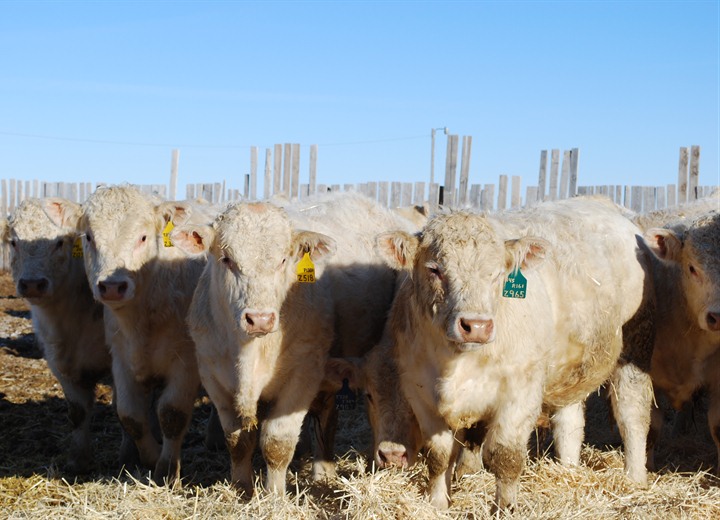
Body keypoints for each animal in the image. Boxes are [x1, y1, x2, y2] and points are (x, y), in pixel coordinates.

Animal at [2, 197, 111, 474]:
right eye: (14, 242)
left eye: (60, 242)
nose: (32, 284)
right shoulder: (60, 365)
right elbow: (78, 412)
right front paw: (78, 462)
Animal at [51, 185, 216, 484]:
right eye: (89, 237)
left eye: (143, 237)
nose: (112, 286)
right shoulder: (122, 357)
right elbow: (130, 415)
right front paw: (150, 456)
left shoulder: (186, 362)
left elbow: (172, 414)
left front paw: (166, 470)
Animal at [170, 191, 416, 496]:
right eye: (226, 259)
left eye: (284, 260)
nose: (260, 319)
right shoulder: (214, 378)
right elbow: (238, 442)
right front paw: (241, 489)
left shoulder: (303, 376)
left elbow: (277, 443)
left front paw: (275, 495)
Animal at [373, 196, 655, 511]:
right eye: (434, 269)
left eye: (498, 273)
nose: (476, 326)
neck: (454, 363)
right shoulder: (419, 390)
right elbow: (439, 456)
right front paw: (437, 505)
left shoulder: (521, 390)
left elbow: (505, 457)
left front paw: (505, 507)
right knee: (569, 423)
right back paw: (568, 469)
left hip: (636, 344)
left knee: (632, 414)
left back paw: (634, 478)